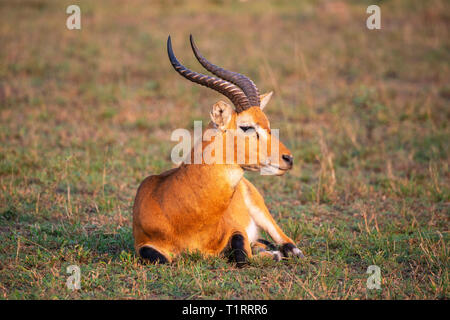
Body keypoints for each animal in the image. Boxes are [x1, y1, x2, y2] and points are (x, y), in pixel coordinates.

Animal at [132, 35, 304, 266]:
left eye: (268, 124)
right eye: (246, 126)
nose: (288, 158)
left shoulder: (236, 230)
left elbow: (241, 253)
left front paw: (271, 254)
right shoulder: (143, 245)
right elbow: (160, 257)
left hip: (262, 211)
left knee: (288, 245)